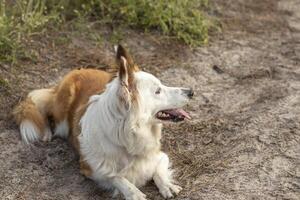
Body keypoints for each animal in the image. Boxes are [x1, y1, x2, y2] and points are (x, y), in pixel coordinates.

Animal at [14, 45, 193, 200]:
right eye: (158, 91)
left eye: (161, 85)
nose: (191, 92)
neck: (129, 138)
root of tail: (79, 70)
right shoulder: (90, 169)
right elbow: (116, 177)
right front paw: (134, 193)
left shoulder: (160, 155)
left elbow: (158, 170)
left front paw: (167, 185)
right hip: (62, 115)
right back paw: (45, 132)